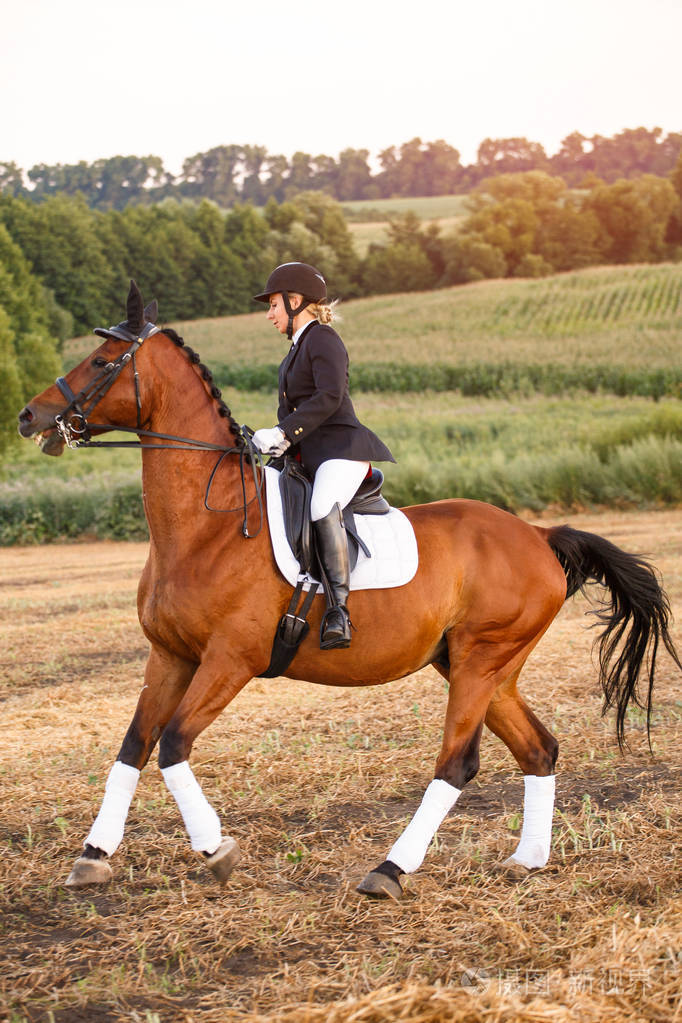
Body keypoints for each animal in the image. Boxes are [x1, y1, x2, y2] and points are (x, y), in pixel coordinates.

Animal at [17, 282, 680, 898]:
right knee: (538, 749)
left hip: (480, 659)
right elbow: (133, 747)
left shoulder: (230, 660)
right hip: (479, 665)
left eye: (102, 361)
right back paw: (528, 860)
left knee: (457, 762)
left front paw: (216, 849)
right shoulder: (170, 655)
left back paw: (389, 870)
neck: (207, 524)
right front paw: (93, 855)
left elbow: (173, 745)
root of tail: (538, 535)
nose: (28, 417)